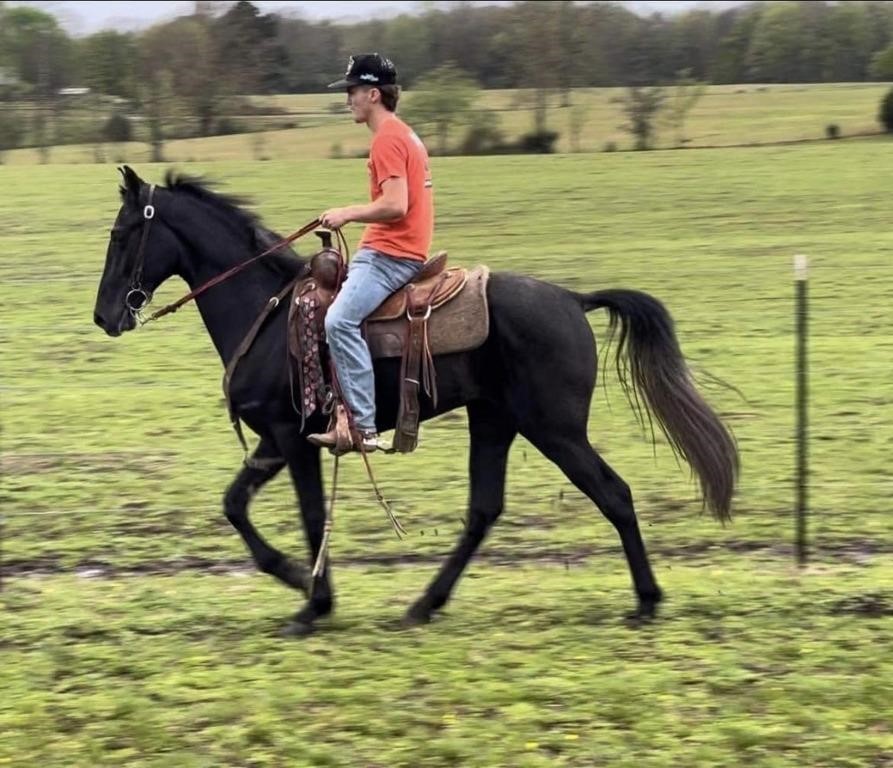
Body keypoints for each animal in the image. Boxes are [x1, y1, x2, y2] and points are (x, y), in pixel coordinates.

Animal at [92, 166, 740, 636]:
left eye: (122, 234)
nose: (103, 317)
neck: (269, 314)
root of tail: (572, 300)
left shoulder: (293, 440)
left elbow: (308, 516)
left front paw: (312, 601)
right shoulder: (275, 441)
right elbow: (233, 506)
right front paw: (298, 580)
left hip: (554, 429)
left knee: (613, 494)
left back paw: (646, 601)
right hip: (495, 421)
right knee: (484, 510)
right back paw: (426, 603)